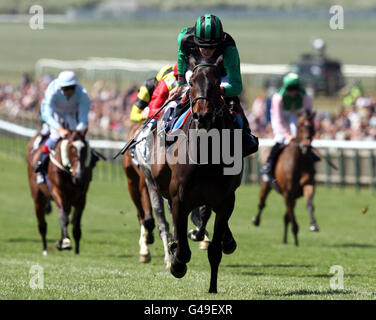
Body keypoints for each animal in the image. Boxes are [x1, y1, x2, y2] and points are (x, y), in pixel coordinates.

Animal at [150, 56, 241, 294]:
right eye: (191, 83)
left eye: (217, 83)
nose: (203, 115)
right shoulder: (179, 198)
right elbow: (183, 250)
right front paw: (176, 263)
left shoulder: (226, 200)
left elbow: (215, 250)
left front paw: (213, 287)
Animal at [253, 111, 318, 246]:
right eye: (300, 126)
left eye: (312, 127)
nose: (306, 146)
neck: (299, 160)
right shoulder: (288, 193)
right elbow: (292, 216)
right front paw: (296, 238)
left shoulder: (307, 185)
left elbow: (309, 204)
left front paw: (313, 224)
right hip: (266, 185)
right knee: (262, 203)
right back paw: (256, 220)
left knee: (286, 216)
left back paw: (284, 239)